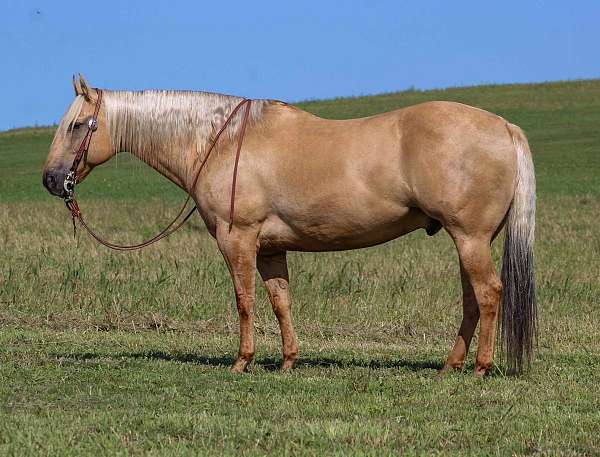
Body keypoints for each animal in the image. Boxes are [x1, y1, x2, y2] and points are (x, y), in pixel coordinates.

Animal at [44, 74, 536, 374]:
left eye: (78, 125)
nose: (51, 179)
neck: (219, 142)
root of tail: (504, 126)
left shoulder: (238, 240)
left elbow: (244, 300)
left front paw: (242, 361)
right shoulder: (271, 249)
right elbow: (280, 301)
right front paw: (287, 361)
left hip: (470, 238)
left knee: (489, 293)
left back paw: (479, 367)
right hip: (469, 240)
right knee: (472, 299)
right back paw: (450, 365)